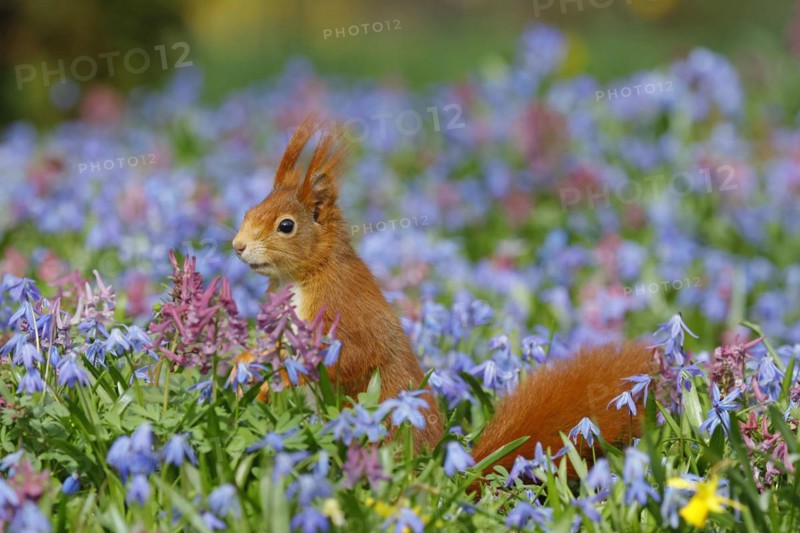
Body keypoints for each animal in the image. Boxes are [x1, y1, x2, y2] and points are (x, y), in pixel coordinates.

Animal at [232, 117, 656, 475]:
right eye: (249, 211)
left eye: (286, 226)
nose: (237, 246)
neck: (306, 274)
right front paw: (245, 365)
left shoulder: (339, 307)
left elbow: (349, 356)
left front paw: (282, 372)